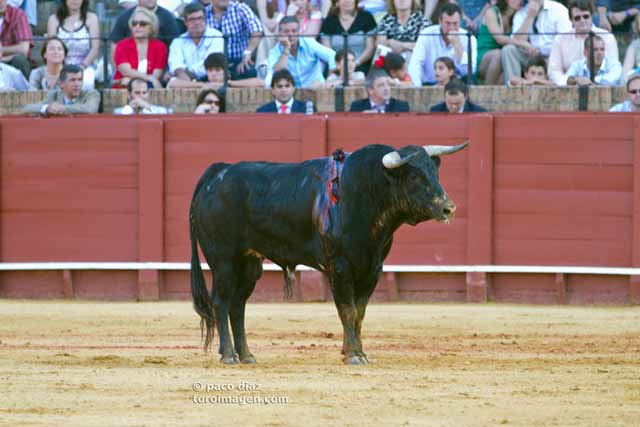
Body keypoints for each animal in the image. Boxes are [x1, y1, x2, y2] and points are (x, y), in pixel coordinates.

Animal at [188, 142, 468, 366]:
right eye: (414, 177)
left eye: (434, 172)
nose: (449, 208)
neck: (364, 192)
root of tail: (218, 174)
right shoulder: (340, 267)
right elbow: (347, 309)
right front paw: (353, 355)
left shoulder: (373, 268)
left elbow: (359, 312)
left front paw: (358, 352)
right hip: (223, 261)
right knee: (220, 302)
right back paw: (228, 355)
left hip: (249, 263)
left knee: (237, 306)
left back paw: (246, 355)